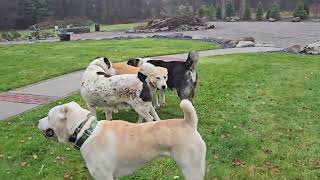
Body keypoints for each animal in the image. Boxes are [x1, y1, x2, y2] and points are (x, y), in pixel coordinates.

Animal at [38, 100, 208, 180]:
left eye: (48, 116)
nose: (37, 122)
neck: (85, 132)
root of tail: (188, 122)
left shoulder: (103, 177)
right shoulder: (113, 176)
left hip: (192, 169)